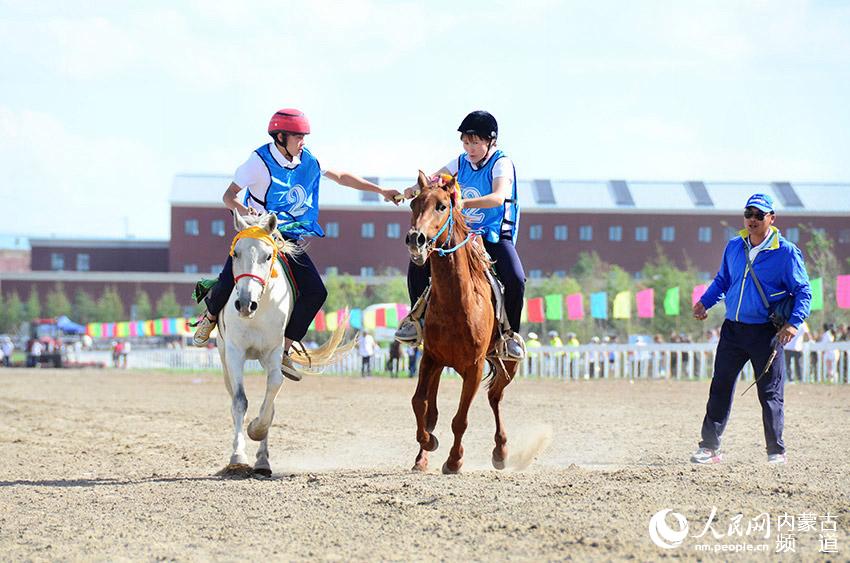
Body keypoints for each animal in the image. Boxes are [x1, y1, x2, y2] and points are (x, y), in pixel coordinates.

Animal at [219, 214, 354, 478]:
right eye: (235, 253)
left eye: (267, 256)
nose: (245, 304)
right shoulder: (234, 351)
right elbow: (240, 401)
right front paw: (237, 457)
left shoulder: (273, 352)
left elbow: (272, 395)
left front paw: (257, 433)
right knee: (232, 397)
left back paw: (263, 462)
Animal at [404, 172, 516, 476]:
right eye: (414, 203)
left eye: (442, 206)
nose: (415, 239)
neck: (457, 303)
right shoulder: (430, 358)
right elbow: (419, 403)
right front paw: (428, 444)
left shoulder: (474, 368)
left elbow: (461, 419)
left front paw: (454, 460)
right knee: (431, 409)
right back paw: (422, 457)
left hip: (507, 365)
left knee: (495, 397)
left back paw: (501, 452)